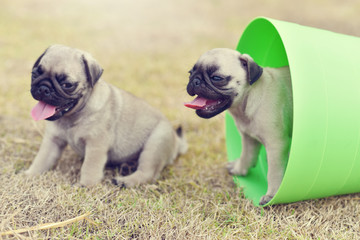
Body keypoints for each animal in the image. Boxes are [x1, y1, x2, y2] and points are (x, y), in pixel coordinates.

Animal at [25, 44, 188, 188]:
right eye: (34, 74)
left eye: (67, 85)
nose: (43, 88)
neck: (72, 117)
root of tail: (177, 140)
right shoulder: (53, 140)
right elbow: (42, 160)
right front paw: (30, 175)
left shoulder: (96, 145)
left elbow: (89, 167)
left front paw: (85, 185)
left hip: (155, 144)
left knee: (148, 172)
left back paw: (125, 181)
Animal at [186, 48, 292, 204]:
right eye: (190, 73)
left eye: (216, 78)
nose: (195, 80)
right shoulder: (248, 137)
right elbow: (247, 155)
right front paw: (240, 170)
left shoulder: (276, 144)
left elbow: (274, 172)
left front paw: (272, 195)